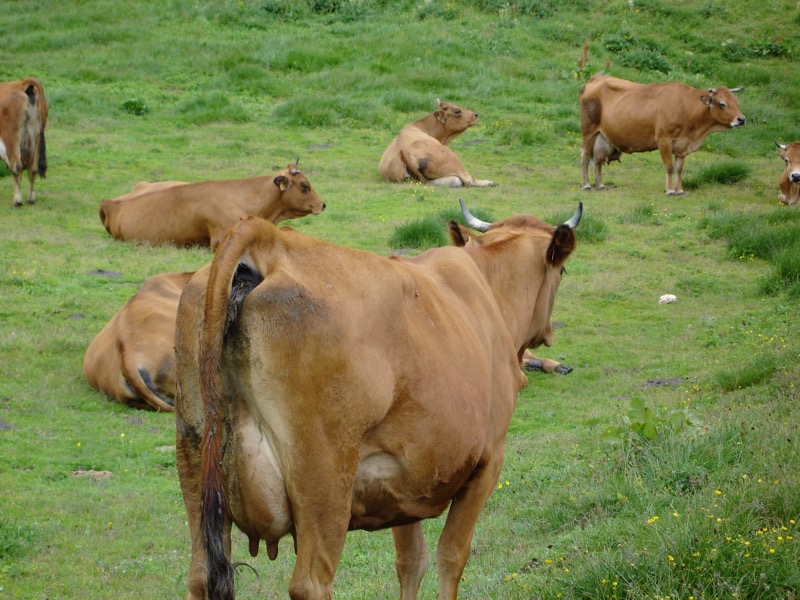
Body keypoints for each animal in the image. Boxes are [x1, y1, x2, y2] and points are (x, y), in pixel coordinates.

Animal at [0, 77, 47, 209]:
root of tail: (22, 84)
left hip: (11, 139)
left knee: (17, 167)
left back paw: (17, 201)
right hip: (36, 137)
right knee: (33, 169)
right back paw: (30, 199)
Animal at [580, 72, 748, 195]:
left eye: (737, 102)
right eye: (722, 103)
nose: (741, 119)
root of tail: (597, 77)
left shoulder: (682, 146)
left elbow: (679, 168)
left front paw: (679, 190)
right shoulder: (664, 139)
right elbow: (669, 166)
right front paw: (670, 190)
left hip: (601, 136)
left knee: (597, 161)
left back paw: (600, 184)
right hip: (588, 130)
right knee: (586, 156)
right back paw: (586, 184)